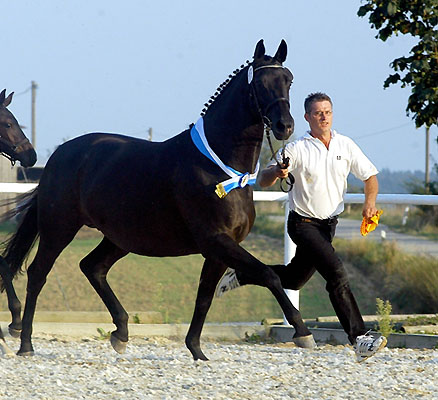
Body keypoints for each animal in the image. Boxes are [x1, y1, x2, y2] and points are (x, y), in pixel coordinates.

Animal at [0, 41, 314, 360]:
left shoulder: (218, 249)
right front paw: (303, 332)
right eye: (260, 83)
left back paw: (121, 332)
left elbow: (204, 297)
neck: (218, 166)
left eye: (288, 80)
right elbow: (268, 274)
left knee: (93, 267)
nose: (285, 126)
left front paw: (196, 349)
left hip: (120, 238)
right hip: (59, 228)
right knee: (38, 274)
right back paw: (25, 342)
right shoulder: (217, 240)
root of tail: (57, 156)